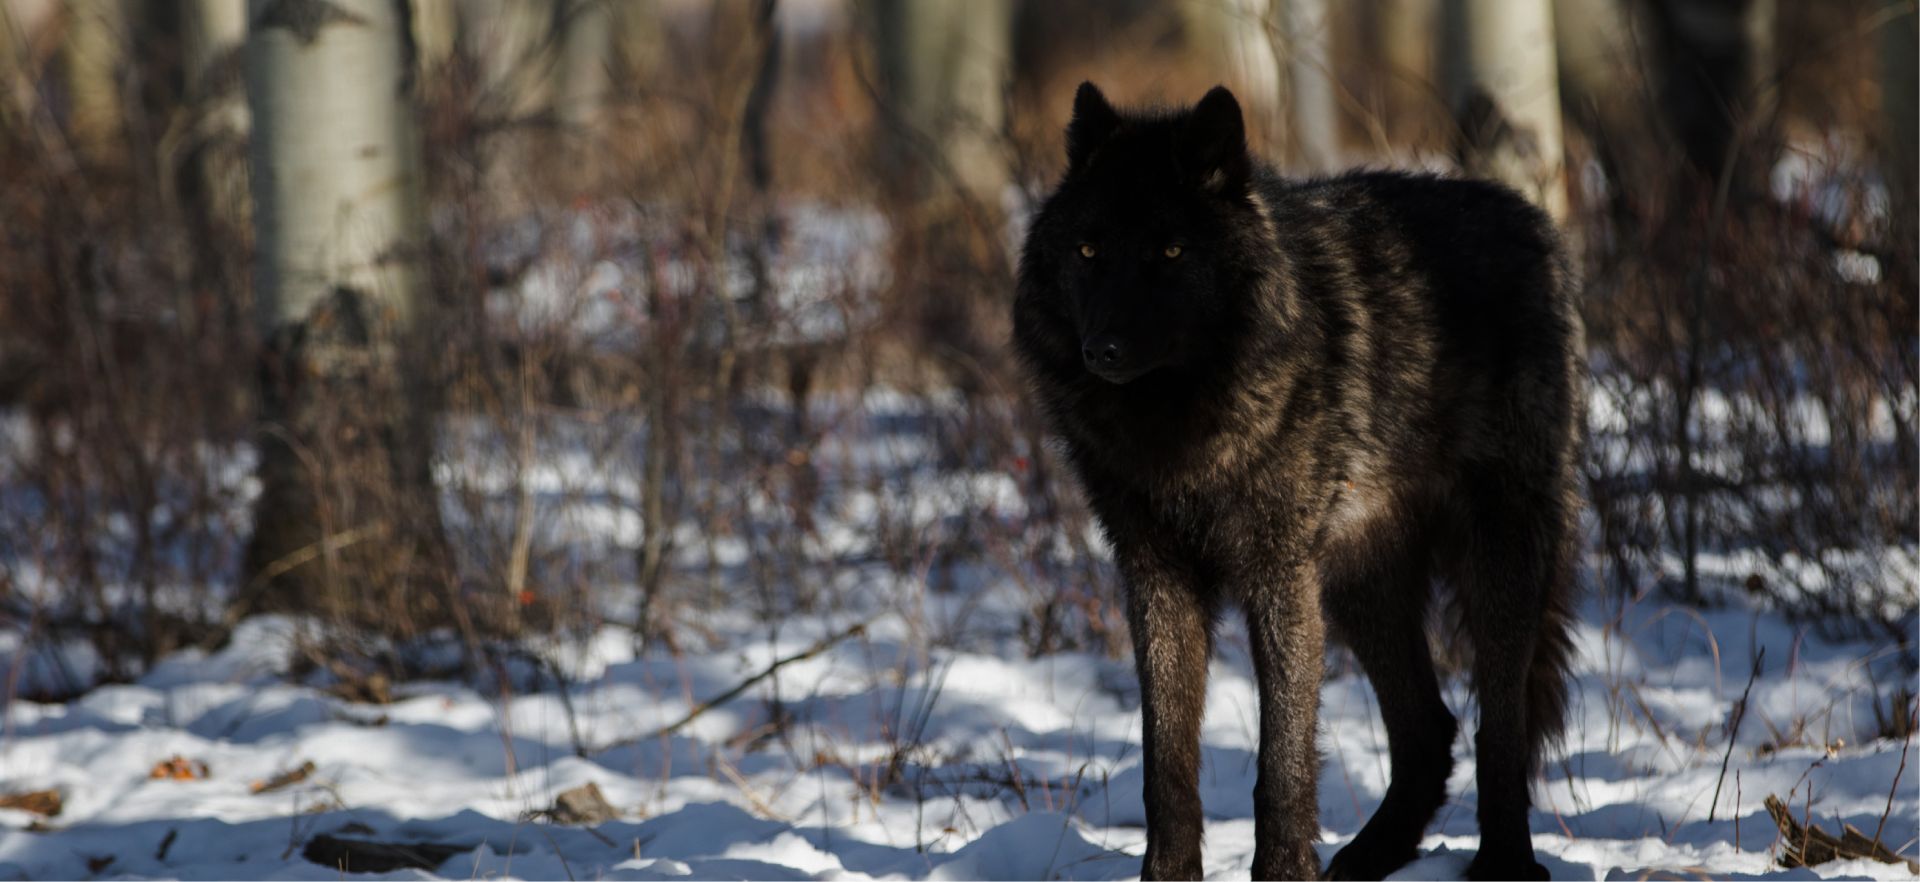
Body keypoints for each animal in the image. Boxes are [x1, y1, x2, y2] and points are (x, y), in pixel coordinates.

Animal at [1012, 83, 1584, 880]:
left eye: (1172, 251)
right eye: (1088, 251)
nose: (1105, 349)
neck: (1180, 425)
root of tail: (1533, 223)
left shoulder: (1278, 575)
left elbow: (1282, 761)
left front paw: (1284, 871)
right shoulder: (1155, 575)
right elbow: (1167, 763)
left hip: (1493, 558)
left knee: (1497, 725)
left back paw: (1503, 862)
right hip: (1358, 584)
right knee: (1430, 728)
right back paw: (1369, 856)